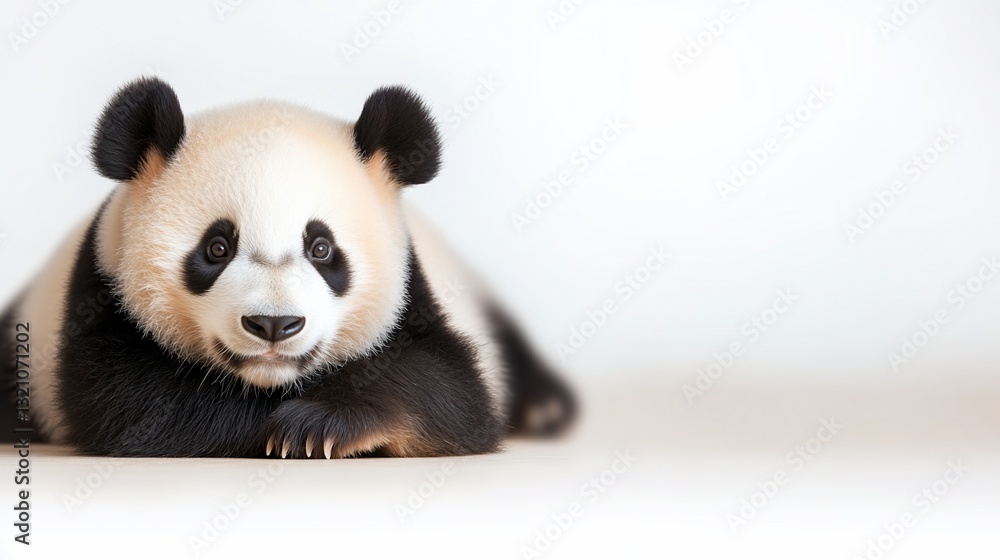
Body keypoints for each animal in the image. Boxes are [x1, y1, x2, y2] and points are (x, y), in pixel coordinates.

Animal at [0, 77, 576, 458]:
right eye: (217, 248)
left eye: (321, 248)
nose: (274, 325)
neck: (270, 380)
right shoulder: (100, 292)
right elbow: (139, 403)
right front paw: (290, 428)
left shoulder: (416, 296)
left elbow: (451, 390)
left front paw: (324, 425)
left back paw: (546, 405)